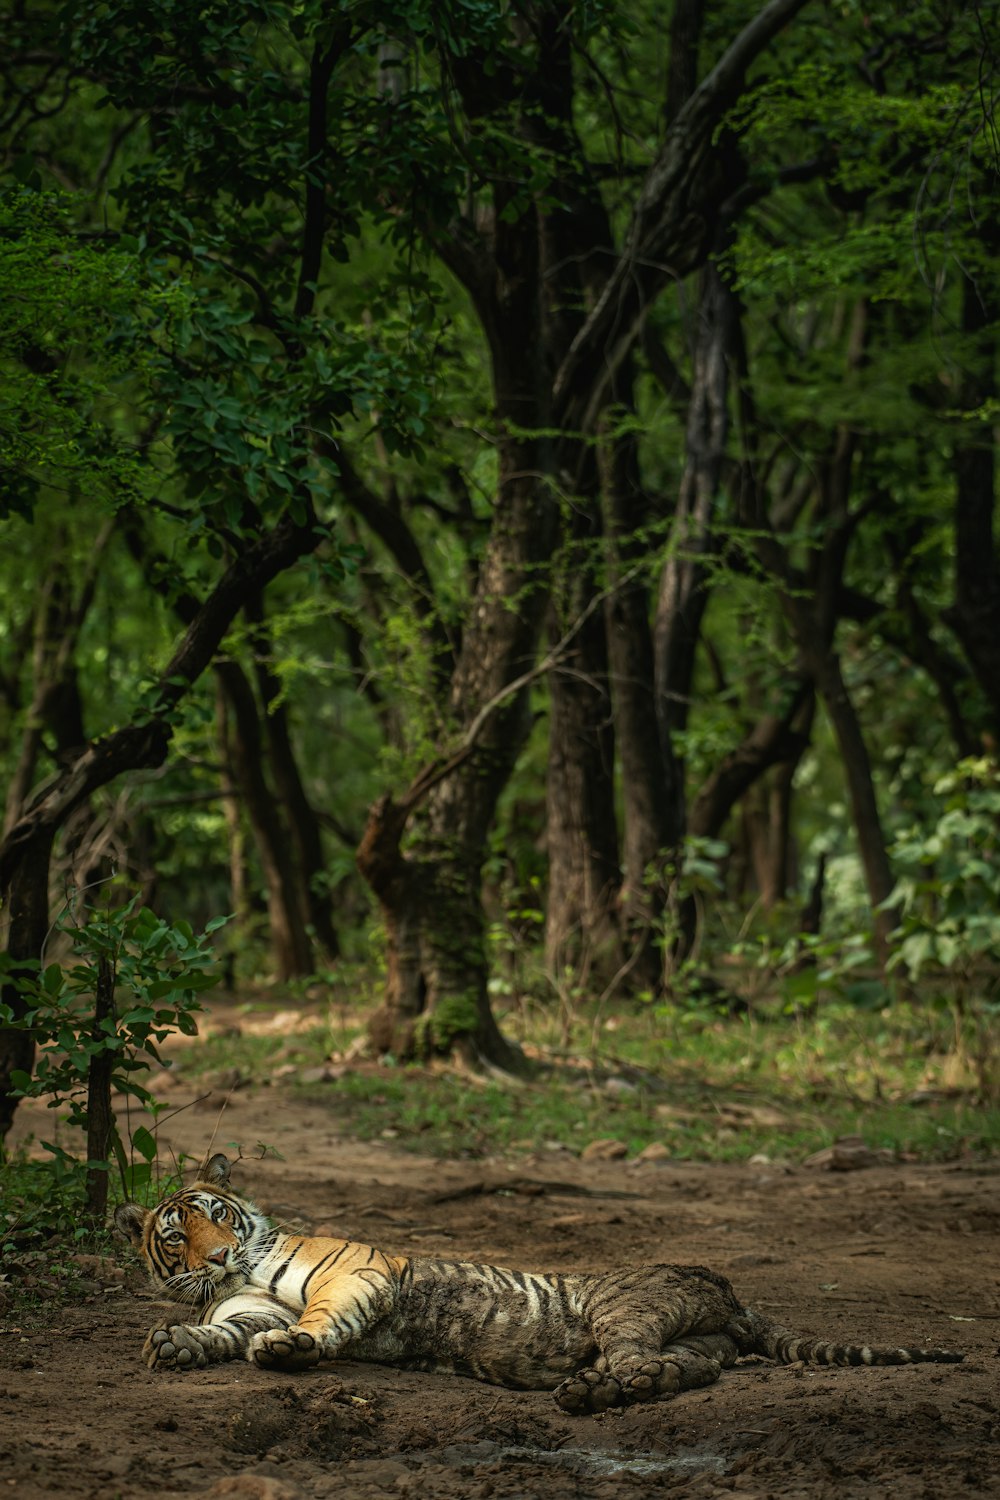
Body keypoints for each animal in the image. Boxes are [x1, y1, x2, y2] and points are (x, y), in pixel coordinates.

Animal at [113, 1152, 965, 1410]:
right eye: (175, 1236)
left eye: (216, 1213)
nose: (216, 1257)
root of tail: (730, 1290)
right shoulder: (244, 1307)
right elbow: (223, 1331)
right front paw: (174, 1344)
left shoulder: (359, 1275)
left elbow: (318, 1320)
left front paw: (292, 1351)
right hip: (697, 1340)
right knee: (681, 1370)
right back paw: (603, 1390)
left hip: (626, 1306)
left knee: (637, 1360)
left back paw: (588, 1393)